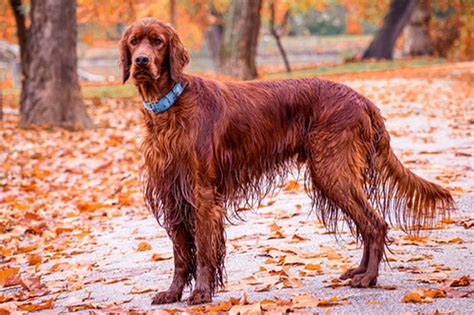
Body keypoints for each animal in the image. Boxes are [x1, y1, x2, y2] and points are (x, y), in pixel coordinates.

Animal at [119, 17, 456, 306]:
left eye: (158, 41)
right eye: (135, 42)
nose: (141, 61)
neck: (170, 106)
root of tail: (362, 99)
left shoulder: (202, 193)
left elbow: (202, 250)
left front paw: (201, 292)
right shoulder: (171, 193)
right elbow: (180, 253)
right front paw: (172, 292)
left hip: (332, 171)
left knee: (374, 223)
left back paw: (368, 278)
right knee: (366, 223)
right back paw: (359, 272)